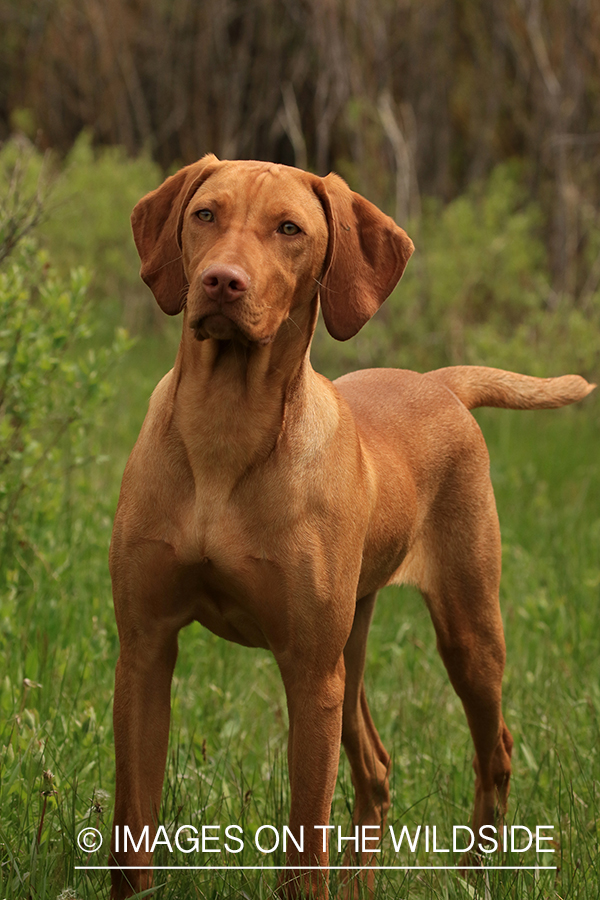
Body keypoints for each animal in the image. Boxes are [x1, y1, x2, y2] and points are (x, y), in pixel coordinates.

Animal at [109, 155, 596, 892]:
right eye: (204, 215)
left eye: (289, 229)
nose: (220, 281)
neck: (225, 431)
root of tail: (439, 382)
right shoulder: (144, 647)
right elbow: (132, 831)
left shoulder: (310, 671)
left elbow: (305, 846)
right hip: (353, 651)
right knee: (376, 769)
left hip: (465, 632)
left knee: (497, 751)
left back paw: (474, 875)